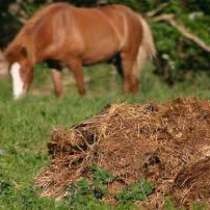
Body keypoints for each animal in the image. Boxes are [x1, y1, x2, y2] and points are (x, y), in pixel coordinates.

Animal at [0, 2, 156, 99]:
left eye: (24, 70)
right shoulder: (54, 65)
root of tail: (135, 16)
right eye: (10, 72)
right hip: (118, 61)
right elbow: (58, 91)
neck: (55, 28)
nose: (18, 97)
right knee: (134, 83)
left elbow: (82, 90)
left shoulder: (75, 62)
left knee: (128, 83)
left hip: (127, 56)